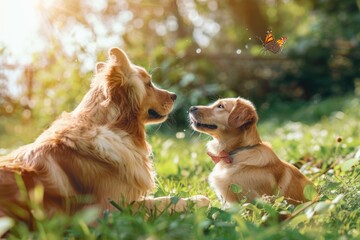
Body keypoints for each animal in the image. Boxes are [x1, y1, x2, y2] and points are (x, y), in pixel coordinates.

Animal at [0, 47, 210, 223]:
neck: (113, 128)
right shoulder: (107, 211)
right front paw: (197, 200)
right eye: (149, 84)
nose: (175, 96)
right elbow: (161, 201)